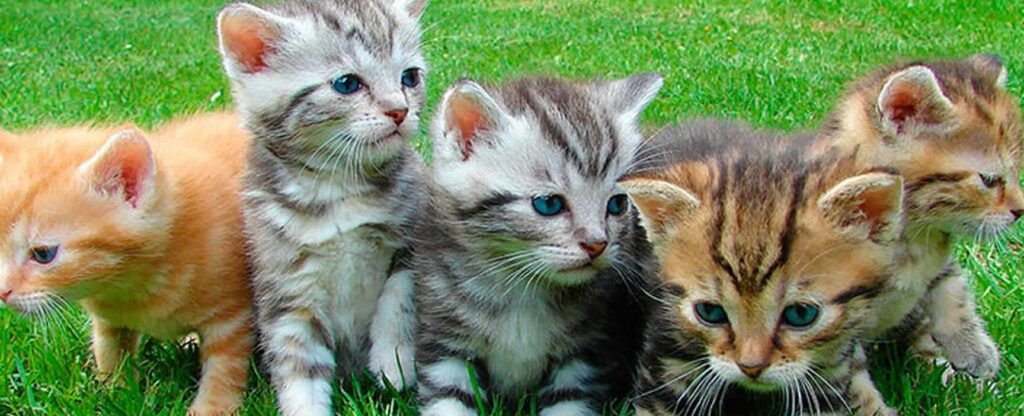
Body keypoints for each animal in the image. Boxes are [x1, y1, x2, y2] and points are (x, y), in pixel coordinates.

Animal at [0, 112, 253, 413]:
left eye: (43, 254)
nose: (2, 292)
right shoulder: (109, 318)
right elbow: (109, 350)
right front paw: (116, 391)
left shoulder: (232, 316)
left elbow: (224, 368)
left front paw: (211, 409)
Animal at [214, 1, 425, 413]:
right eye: (347, 84)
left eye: (410, 77)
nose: (399, 110)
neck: (336, 190)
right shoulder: (286, 290)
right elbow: (298, 366)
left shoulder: (413, 239)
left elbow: (399, 297)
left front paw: (394, 361)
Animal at [403, 73, 659, 416]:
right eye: (549, 204)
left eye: (617, 204)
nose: (597, 244)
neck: (521, 289)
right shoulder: (445, 344)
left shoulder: (583, 357)